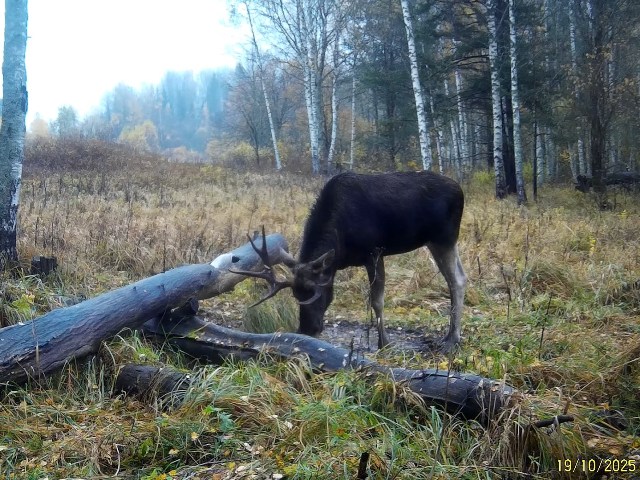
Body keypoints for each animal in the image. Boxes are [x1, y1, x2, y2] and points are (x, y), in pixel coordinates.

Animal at [231, 171, 467, 352]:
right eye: (296, 296)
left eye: (317, 294)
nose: (307, 329)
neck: (340, 243)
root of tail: (460, 190)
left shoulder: (374, 252)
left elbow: (377, 300)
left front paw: (384, 343)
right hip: (435, 241)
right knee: (459, 277)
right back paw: (450, 335)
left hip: (445, 237)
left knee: (457, 280)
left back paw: (452, 340)